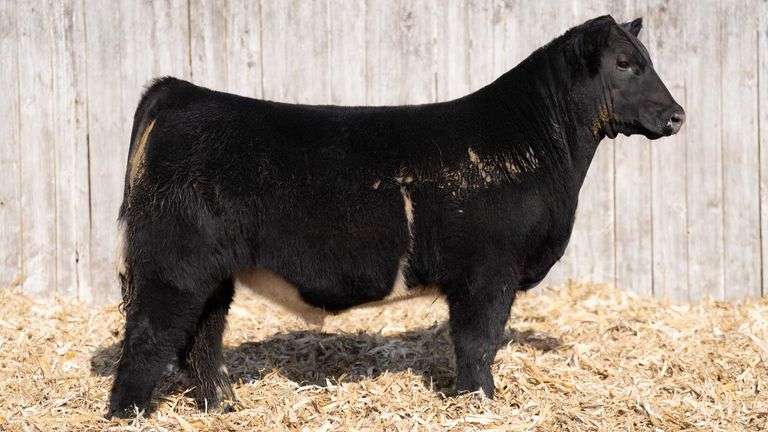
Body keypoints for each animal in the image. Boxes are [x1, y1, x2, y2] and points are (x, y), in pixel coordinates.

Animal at [108, 15, 684, 417]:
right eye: (625, 64)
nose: (677, 115)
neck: (538, 143)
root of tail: (180, 91)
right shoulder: (488, 273)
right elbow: (478, 343)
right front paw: (479, 402)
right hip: (172, 268)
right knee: (147, 340)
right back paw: (129, 415)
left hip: (210, 274)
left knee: (202, 340)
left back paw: (223, 405)